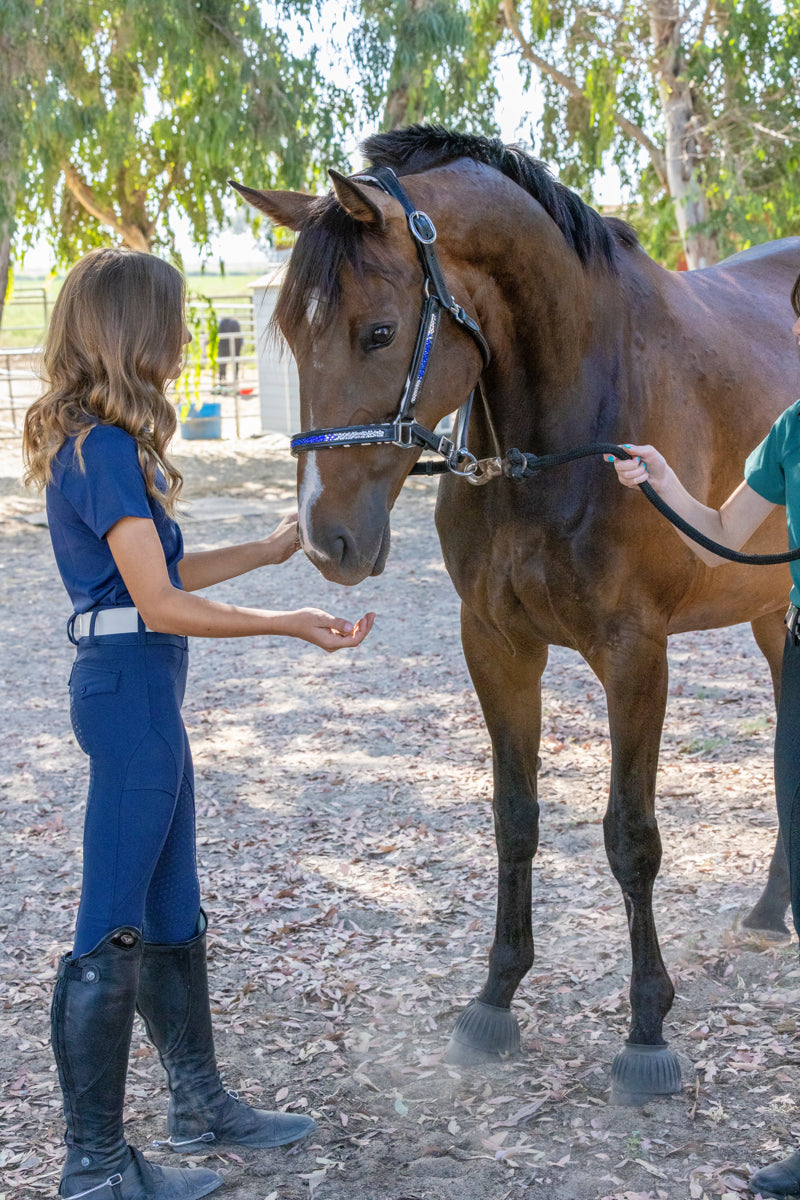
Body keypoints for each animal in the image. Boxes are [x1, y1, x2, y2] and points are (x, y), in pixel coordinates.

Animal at [230, 126, 800, 1099]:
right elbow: (515, 817)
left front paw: (646, 1027)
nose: (327, 540)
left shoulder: (635, 656)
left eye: (379, 332)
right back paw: (770, 910)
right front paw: (495, 997)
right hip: (772, 611)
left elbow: (631, 837)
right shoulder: (496, 647)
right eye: (293, 339)